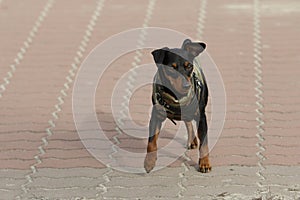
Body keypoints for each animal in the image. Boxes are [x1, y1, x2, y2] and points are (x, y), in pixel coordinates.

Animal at [144, 39, 211, 173]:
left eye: (189, 66)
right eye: (171, 68)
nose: (186, 86)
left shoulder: (201, 118)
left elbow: (204, 143)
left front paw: (205, 163)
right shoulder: (156, 116)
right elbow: (151, 142)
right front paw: (149, 162)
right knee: (188, 122)